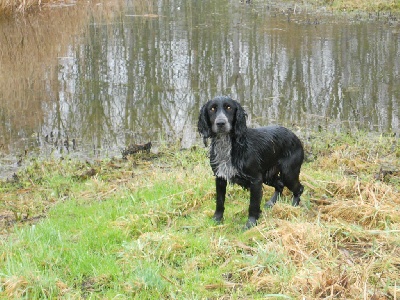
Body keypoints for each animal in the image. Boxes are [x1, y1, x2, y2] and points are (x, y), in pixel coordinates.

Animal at [198, 97, 304, 229]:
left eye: (229, 107)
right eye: (212, 109)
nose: (221, 123)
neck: (228, 145)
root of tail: (295, 136)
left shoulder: (256, 180)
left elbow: (253, 205)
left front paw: (250, 224)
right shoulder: (220, 177)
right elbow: (220, 201)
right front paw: (217, 220)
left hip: (288, 173)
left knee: (299, 189)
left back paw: (293, 206)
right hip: (268, 176)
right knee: (279, 185)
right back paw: (271, 203)